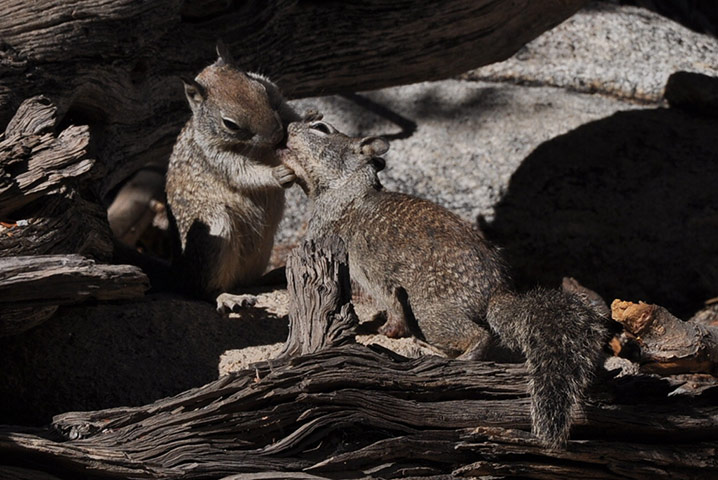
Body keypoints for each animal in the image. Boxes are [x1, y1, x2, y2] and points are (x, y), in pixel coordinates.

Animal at [165, 44, 310, 310]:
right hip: (216, 228)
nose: (277, 134)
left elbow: (290, 112)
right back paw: (229, 297)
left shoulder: (278, 99)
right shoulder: (216, 157)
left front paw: (311, 119)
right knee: (204, 290)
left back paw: (274, 274)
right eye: (230, 124)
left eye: (262, 90)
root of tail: (177, 276)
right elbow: (243, 173)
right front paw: (276, 174)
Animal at [278, 120, 608, 448]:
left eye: (321, 127)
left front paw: (387, 331)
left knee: (479, 336)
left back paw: (442, 354)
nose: (289, 127)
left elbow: (389, 304)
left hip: (429, 310)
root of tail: (497, 294)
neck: (349, 188)